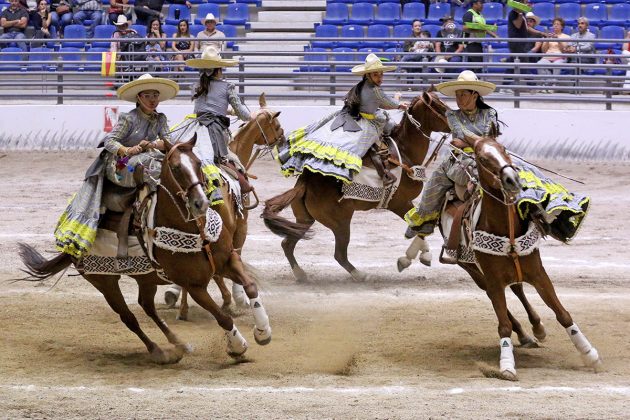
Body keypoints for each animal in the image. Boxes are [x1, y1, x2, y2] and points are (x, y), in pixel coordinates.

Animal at [19, 139, 272, 364]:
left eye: (198, 163)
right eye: (176, 168)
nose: (201, 202)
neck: (196, 231)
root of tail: (68, 242)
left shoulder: (227, 260)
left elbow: (250, 286)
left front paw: (263, 331)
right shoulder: (194, 286)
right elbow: (222, 317)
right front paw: (238, 347)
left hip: (146, 278)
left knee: (147, 306)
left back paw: (180, 344)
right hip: (103, 281)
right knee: (128, 317)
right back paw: (160, 352)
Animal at [163, 96, 286, 318]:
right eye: (276, 124)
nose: (283, 139)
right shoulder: (240, 227)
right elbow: (236, 256)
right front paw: (238, 298)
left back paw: (184, 307)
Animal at [262, 91, 454, 282]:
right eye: (440, 107)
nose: (455, 124)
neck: (404, 152)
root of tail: (305, 183)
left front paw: (421, 255)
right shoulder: (398, 203)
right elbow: (418, 226)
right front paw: (411, 259)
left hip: (305, 220)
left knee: (287, 243)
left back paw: (301, 274)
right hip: (341, 223)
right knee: (339, 254)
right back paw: (360, 274)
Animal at [442, 135, 604, 380]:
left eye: (503, 149)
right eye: (482, 157)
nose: (511, 178)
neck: (505, 230)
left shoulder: (538, 273)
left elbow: (563, 314)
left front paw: (590, 354)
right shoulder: (493, 279)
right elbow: (503, 325)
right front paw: (507, 366)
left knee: (518, 289)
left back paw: (535, 329)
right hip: (473, 271)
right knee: (494, 294)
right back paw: (525, 333)